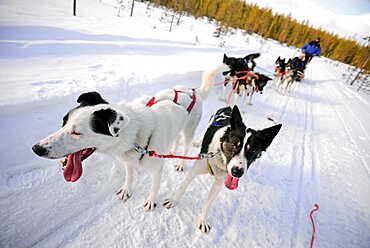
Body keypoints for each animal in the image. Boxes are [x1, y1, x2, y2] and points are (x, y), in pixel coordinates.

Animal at [31, 64, 228, 211]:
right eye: (63, 122)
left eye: (77, 132)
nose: (36, 148)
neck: (135, 135)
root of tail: (192, 91)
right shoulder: (128, 161)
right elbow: (130, 176)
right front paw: (127, 189)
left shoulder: (156, 169)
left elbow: (154, 187)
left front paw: (151, 201)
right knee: (176, 139)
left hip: (189, 130)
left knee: (185, 144)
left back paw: (180, 162)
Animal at [163, 105, 282, 233]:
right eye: (234, 144)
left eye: (253, 151)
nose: (237, 171)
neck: (219, 159)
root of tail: (229, 108)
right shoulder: (194, 170)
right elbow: (182, 187)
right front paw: (172, 200)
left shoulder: (219, 183)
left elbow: (208, 204)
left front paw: (202, 221)